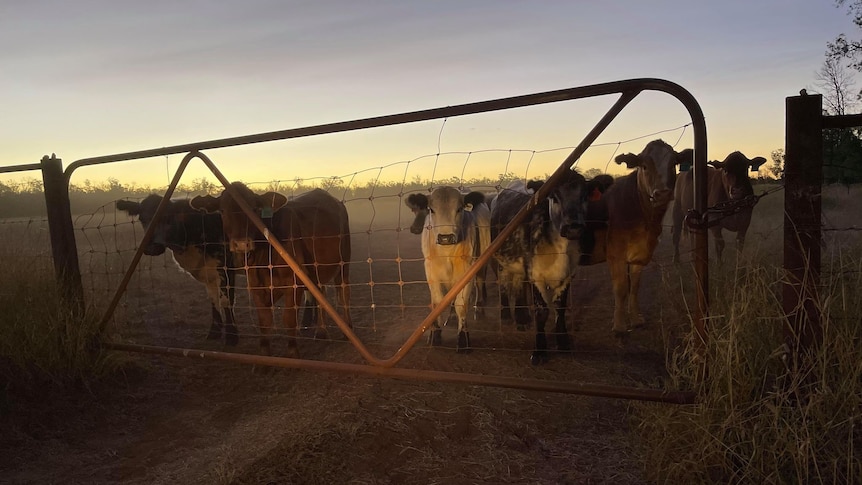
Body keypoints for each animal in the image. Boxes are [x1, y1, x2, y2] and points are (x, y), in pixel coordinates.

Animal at [116, 193, 240, 344]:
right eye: (142, 219)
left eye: (168, 217)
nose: (151, 247)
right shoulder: (208, 274)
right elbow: (213, 300)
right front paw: (214, 333)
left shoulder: (226, 268)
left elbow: (227, 301)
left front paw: (232, 336)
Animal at [191, 182, 352, 356]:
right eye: (222, 210)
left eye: (254, 209)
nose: (241, 244)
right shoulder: (255, 285)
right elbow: (264, 319)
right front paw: (265, 352)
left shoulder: (294, 283)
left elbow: (289, 318)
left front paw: (292, 351)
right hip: (317, 271)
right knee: (322, 293)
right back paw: (321, 331)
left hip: (344, 262)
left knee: (344, 293)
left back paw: (347, 329)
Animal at [404, 186, 492, 352]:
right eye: (431, 210)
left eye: (459, 209)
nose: (445, 237)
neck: (447, 253)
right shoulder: (431, 273)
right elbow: (438, 302)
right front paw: (435, 334)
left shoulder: (467, 272)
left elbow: (461, 304)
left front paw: (463, 338)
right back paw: (451, 317)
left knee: (480, 283)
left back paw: (478, 308)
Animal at [490, 170, 604, 364]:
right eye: (554, 197)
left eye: (584, 195)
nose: (573, 227)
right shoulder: (536, 275)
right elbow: (542, 311)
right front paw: (540, 350)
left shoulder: (568, 274)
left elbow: (560, 308)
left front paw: (563, 343)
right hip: (501, 260)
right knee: (504, 283)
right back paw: (506, 315)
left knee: (519, 285)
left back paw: (522, 318)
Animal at [580, 138, 696, 338]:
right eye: (644, 166)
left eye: (673, 163)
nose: (662, 193)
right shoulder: (616, 253)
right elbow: (620, 289)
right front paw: (619, 326)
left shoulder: (639, 255)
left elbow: (634, 287)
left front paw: (636, 319)